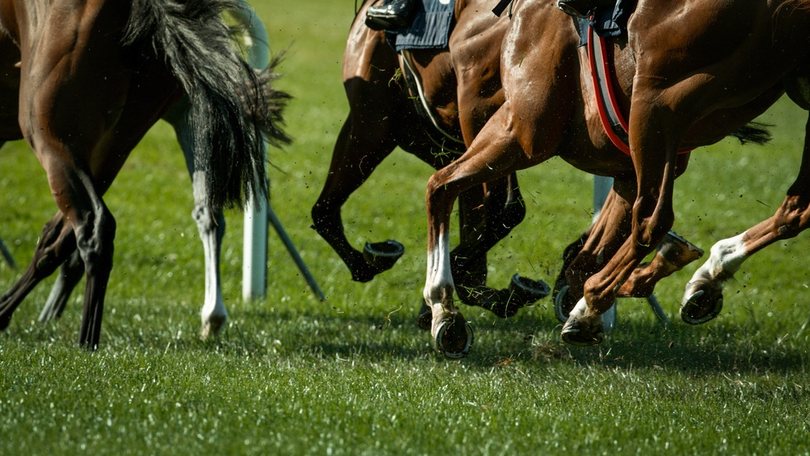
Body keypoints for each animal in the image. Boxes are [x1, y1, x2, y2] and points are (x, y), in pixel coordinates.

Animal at [420, 0, 810, 356]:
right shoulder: (625, 170)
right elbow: (581, 263)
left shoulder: (523, 131)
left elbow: (439, 187)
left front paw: (443, 311)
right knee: (796, 208)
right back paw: (706, 275)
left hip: (656, 102)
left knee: (653, 219)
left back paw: (592, 307)